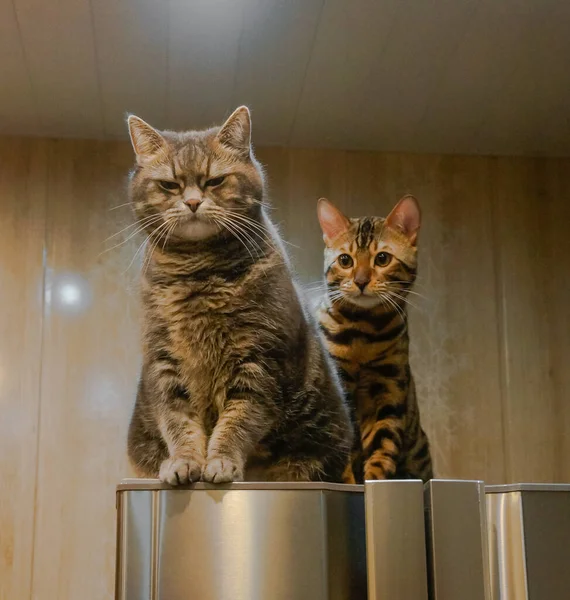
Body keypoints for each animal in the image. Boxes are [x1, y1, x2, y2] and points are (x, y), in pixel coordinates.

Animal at [126, 106, 352, 482]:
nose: (192, 202)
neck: (199, 273)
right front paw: (184, 461)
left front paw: (220, 461)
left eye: (214, 181)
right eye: (169, 185)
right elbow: (178, 421)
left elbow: (238, 422)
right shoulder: (164, 362)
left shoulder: (260, 362)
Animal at [316, 195, 430, 486]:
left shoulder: (388, 387)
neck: (363, 331)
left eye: (382, 258)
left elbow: (383, 442)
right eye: (345, 260)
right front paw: (347, 482)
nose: (361, 281)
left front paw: (374, 480)